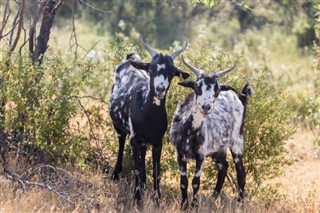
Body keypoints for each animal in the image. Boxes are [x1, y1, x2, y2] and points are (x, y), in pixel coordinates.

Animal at [110, 37, 190, 204]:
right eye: (151, 69)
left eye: (172, 72)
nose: (160, 89)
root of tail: (129, 59)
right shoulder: (134, 139)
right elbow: (137, 168)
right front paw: (137, 199)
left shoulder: (157, 142)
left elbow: (156, 171)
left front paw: (157, 198)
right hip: (118, 126)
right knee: (121, 141)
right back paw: (116, 174)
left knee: (143, 151)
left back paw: (144, 183)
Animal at [169, 55, 254, 209]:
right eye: (197, 86)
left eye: (217, 89)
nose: (206, 107)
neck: (189, 132)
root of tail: (242, 96)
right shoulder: (180, 154)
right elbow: (183, 182)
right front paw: (184, 205)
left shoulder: (201, 155)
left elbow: (195, 182)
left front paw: (194, 205)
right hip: (219, 149)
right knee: (224, 167)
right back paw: (213, 198)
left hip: (237, 142)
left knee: (241, 173)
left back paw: (239, 203)